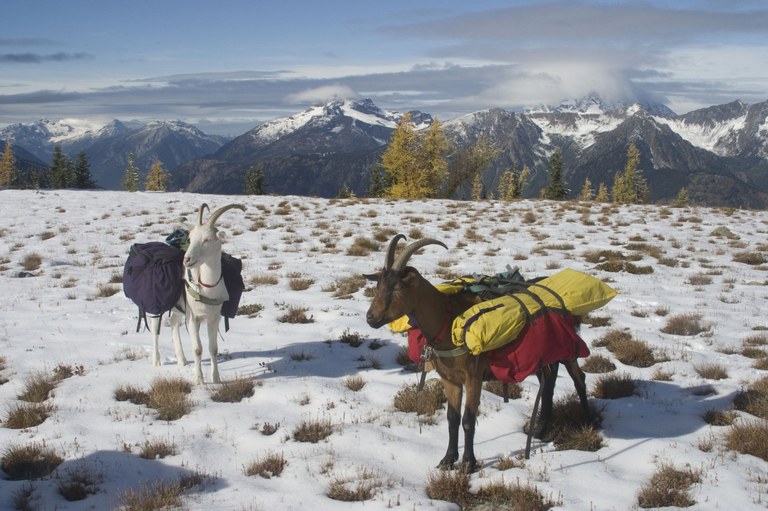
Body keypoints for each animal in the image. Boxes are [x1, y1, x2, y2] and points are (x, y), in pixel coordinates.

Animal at [150, 202, 246, 384]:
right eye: (190, 238)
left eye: (208, 239)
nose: (187, 260)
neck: (208, 287)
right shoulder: (193, 318)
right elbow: (198, 349)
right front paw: (199, 380)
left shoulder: (213, 317)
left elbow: (213, 348)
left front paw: (216, 379)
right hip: (157, 305)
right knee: (154, 329)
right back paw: (156, 361)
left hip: (179, 308)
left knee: (173, 323)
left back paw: (182, 360)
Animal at [364, 235, 590, 470]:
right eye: (378, 285)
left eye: (397, 287)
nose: (371, 318)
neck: (447, 320)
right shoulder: (450, 378)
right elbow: (452, 418)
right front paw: (448, 459)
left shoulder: (473, 376)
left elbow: (468, 419)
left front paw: (468, 463)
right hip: (543, 355)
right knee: (549, 381)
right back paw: (540, 430)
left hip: (566, 347)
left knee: (578, 378)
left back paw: (586, 421)